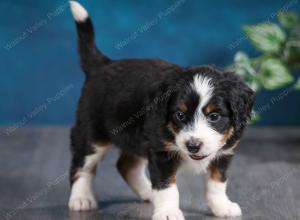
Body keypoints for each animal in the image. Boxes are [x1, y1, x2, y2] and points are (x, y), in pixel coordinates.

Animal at [68, 2, 255, 220]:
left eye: (214, 116)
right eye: (180, 115)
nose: (193, 146)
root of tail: (103, 65)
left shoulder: (224, 152)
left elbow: (217, 183)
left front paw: (222, 206)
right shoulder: (161, 151)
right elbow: (167, 187)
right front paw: (168, 212)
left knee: (126, 165)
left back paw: (148, 192)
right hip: (92, 133)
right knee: (82, 165)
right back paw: (81, 198)